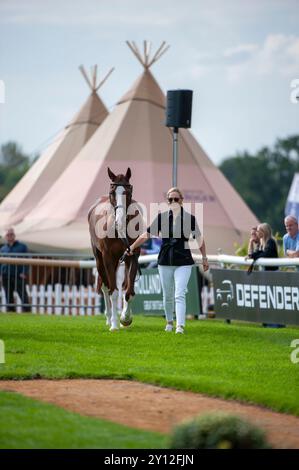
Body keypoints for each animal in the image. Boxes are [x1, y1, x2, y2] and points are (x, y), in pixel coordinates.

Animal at [88, 168, 144, 330]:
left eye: (128, 191)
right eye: (112, 192)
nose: (119, 220)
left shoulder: (133, 255)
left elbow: (129, 291)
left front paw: (125, 318)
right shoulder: (108, 257)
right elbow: (113, 291)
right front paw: (114, 324)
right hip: (100, 259)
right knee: (105, 286)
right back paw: (108, 318)